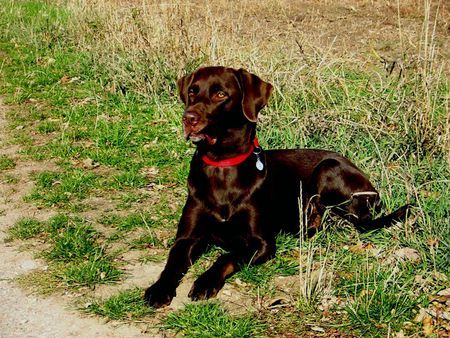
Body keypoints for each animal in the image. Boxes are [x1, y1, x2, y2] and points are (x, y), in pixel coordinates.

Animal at [143, 66, 408, 308]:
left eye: (220, 94)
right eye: (192, 91)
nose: (188, 118)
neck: (222, 165)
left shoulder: (262, 243)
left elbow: (227, 256)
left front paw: (205, 281)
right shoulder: (186, 238)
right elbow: (172, 262)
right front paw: (158, 289)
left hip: (329, 169)